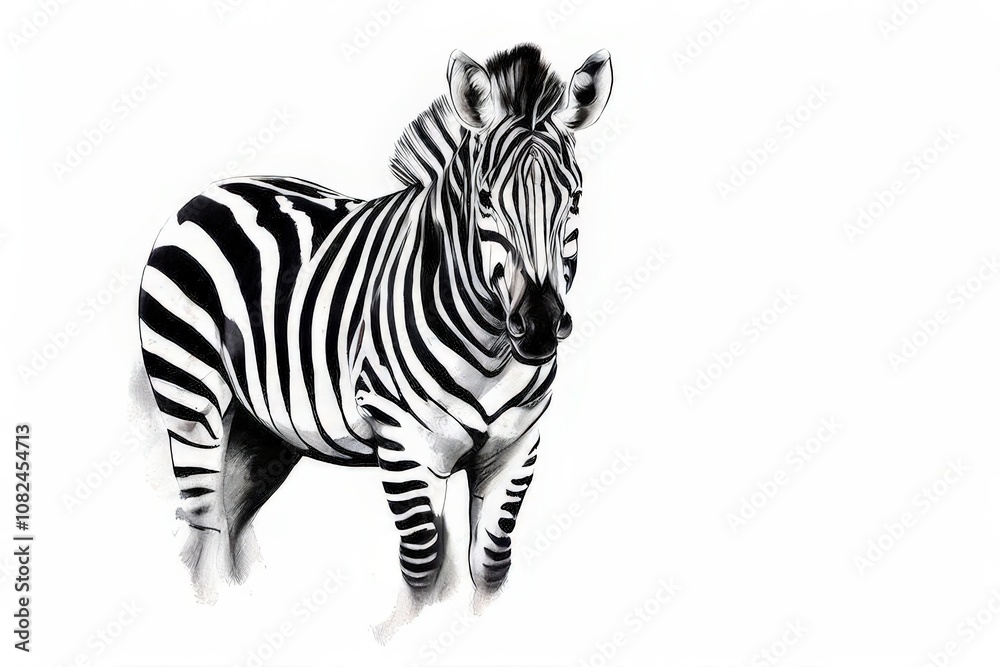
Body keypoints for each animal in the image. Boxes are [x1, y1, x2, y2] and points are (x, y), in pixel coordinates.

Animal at [138, 43, 613, 620]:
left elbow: (490, 566)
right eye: (485, 200)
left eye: (575, 200)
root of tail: (212, 190)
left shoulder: (516, 449)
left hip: (262, 431)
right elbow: (425, 566)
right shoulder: (408, 444)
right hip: (189, 399)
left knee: (226, 522)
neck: (493, 351)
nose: (541, 325)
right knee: (203, 523)